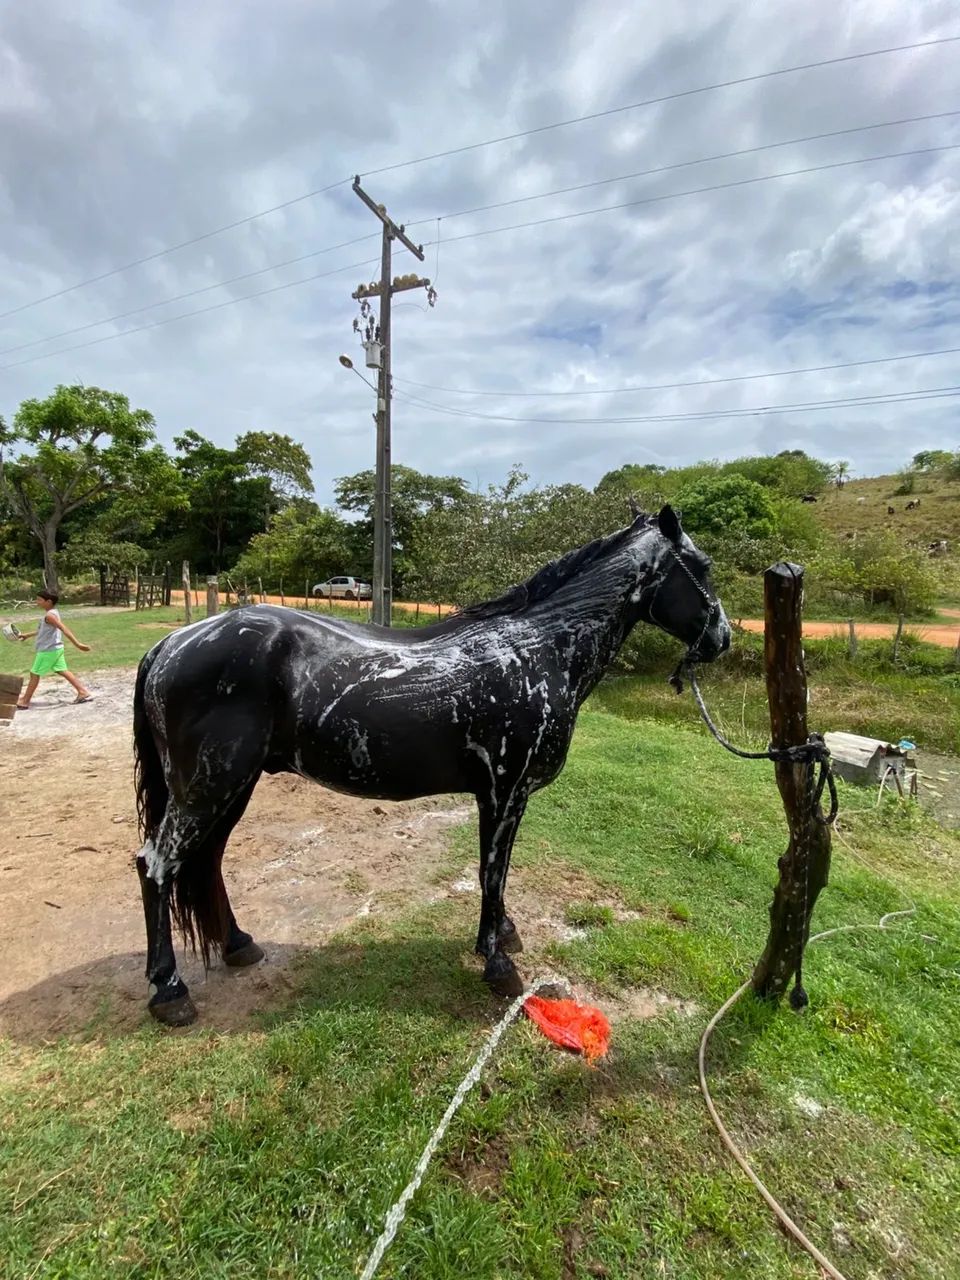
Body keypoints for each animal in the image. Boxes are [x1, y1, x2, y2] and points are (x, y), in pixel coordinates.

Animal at [133, 505, 731, 1026]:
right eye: (701, 566)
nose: (722, 638)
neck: (540, 650)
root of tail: (171, 643)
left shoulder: (506, 796)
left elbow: (499, 873)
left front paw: (505, 933)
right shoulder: (504, 792)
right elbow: (492, 872)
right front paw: (498, 964)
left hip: (231, 787)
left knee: (205, 861)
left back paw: (238, 945)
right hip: (208, 787)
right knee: (156, 865)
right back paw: (169, 991)